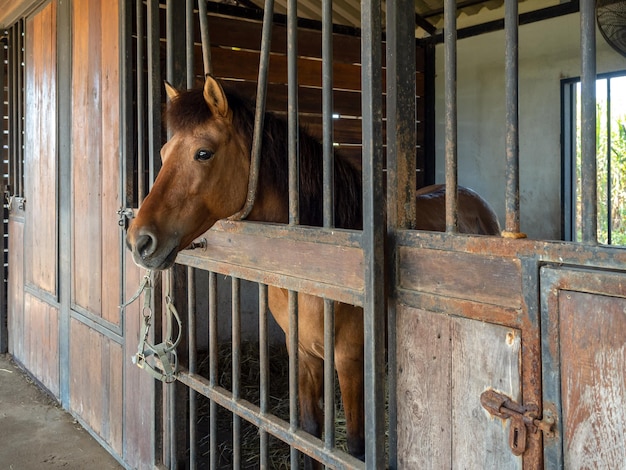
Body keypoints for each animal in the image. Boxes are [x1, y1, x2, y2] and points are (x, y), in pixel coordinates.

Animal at [124, 75, 500, 464]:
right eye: (163, 154)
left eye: (203, 153)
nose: (139, 241)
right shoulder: (302, 355)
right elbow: (308, 434)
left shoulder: (350, 361)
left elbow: (355, 447)